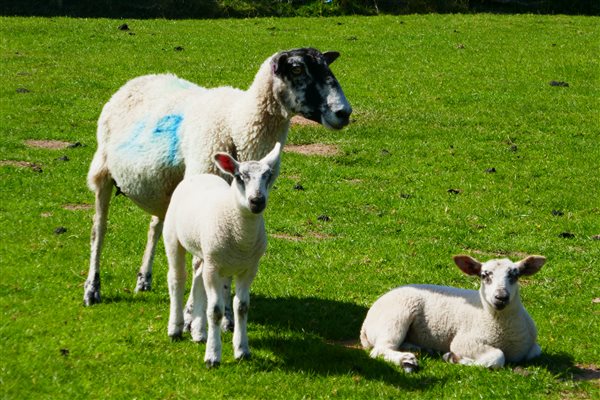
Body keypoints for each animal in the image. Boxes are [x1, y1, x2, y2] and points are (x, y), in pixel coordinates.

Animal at [82, 48, 350, 316]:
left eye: (326, 65)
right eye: (296, 69)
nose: (344, 112)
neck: (237, 122)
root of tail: (140, 79)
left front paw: (226, 313)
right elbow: (200, 259)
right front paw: (192, 312)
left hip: (166, 189)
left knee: (154, 227)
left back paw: (143, 279)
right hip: (103, 170)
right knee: (98, 229)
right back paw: (92, 289)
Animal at [163, 142, 282, 368]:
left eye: (268, 175)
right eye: (240, 176)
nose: (257, 201)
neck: (241, 238)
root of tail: (201, 175)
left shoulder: (249, 269)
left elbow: (242, 307)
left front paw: (242, 350)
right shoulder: (214, 268)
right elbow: (216, 311)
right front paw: (212, 356)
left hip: (206, 252)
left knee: (197, 278)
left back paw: (199, 332)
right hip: (174, 238)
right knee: (177, 278)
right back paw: (175, 328)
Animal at [358, 256, 548, 372]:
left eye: (515, 276)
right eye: (484, 275)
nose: (501, 297)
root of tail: (365, 325)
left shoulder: (532, 347)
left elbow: (535, 352)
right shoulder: (464, 341)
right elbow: (497, 357)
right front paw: (453, 358)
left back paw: (418, 348)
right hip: (395, 317)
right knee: (380, 349)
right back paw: (406, 359)